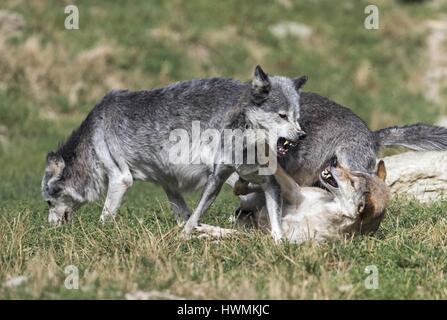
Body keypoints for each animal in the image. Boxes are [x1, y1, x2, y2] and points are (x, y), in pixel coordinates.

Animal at [42, 65, 308, 240]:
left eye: (48, 202)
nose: (49, 228)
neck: (93, 137)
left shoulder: (120, 178)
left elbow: (105, 216)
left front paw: (99, 232)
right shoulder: (167, 183)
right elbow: (185, 215)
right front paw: (188, 232)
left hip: (230, 173)